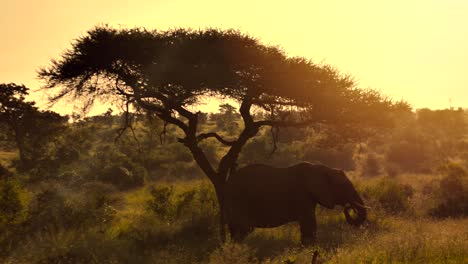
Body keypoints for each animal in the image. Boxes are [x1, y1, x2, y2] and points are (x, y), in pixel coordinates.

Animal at [225, 162, 368, 244]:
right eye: (343, 186)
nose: (349, 207)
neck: (321, 168)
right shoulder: (303, 195)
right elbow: (309, 223)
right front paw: (308, 248)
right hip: (239, 199)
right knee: (243, 230)